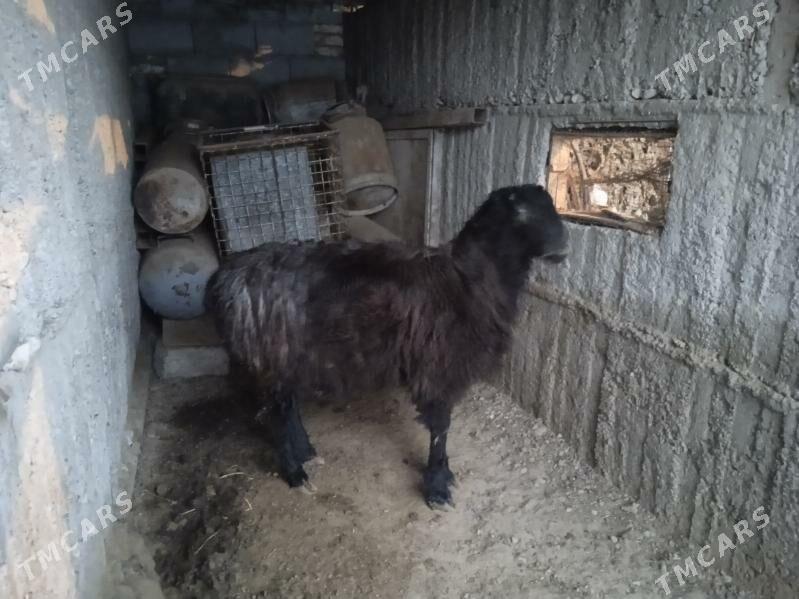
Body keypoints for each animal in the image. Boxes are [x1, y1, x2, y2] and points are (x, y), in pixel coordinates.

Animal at [205, 184, 568, 507]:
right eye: (520, 212)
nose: (564, 245)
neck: (467, 279)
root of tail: (223, 277)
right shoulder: (437, 368)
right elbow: (440, 428)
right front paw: (437, 487)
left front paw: (444, 476)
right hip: (267, 356)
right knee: (276, 415)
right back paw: (294, 473)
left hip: (287, 358)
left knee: (287, 406)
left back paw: (305, 451)